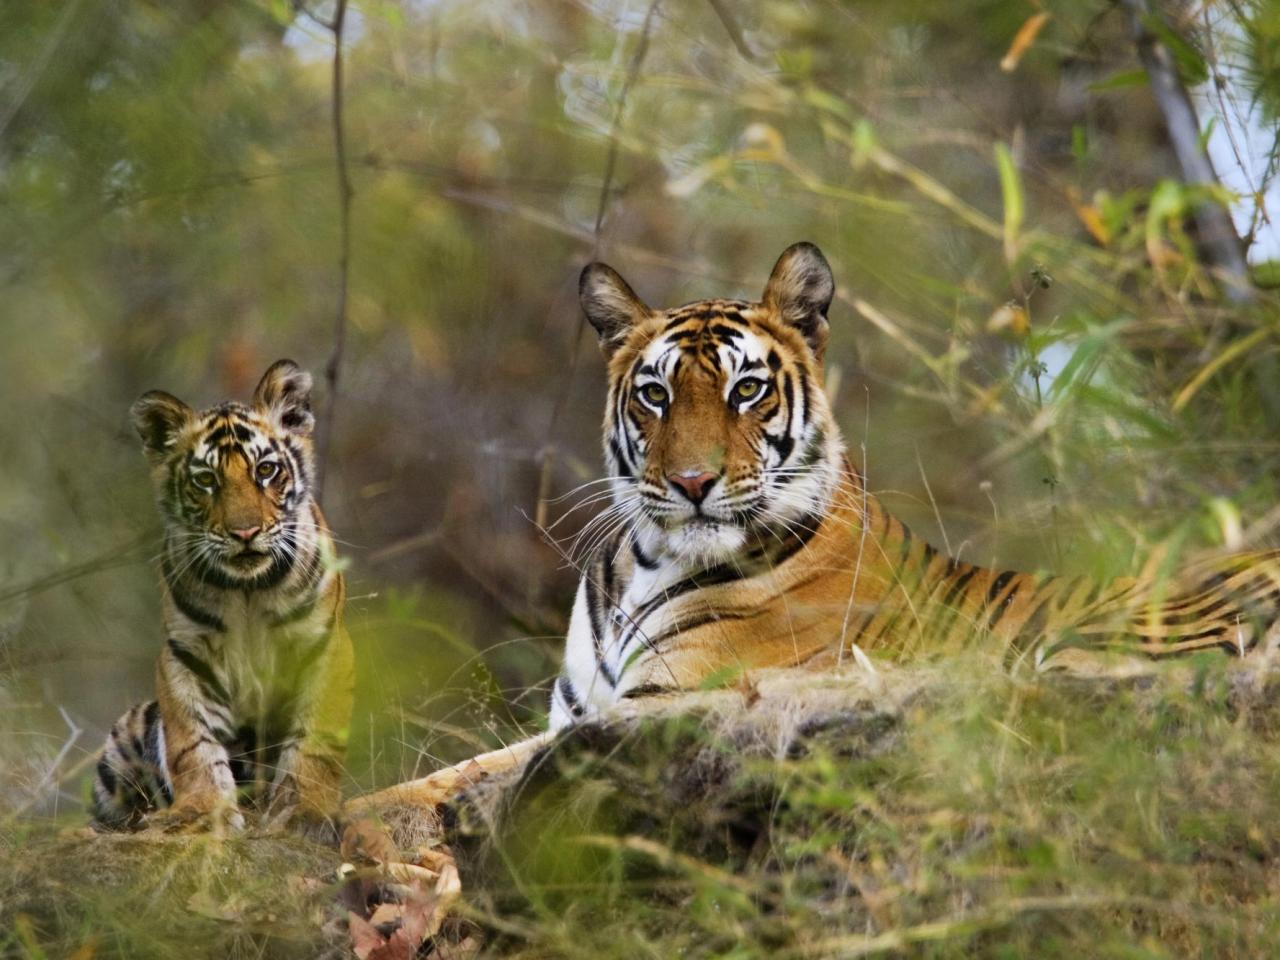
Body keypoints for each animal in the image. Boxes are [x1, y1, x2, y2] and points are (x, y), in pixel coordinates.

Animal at [90, 360, 353, 834]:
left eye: (265, 470)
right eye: (206, 480)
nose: (244, 532)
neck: (248, 590)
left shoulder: (325, 648)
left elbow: (315, 744)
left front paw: (304, 812)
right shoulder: (185, 656)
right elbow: (193, 744)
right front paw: (203, 812)